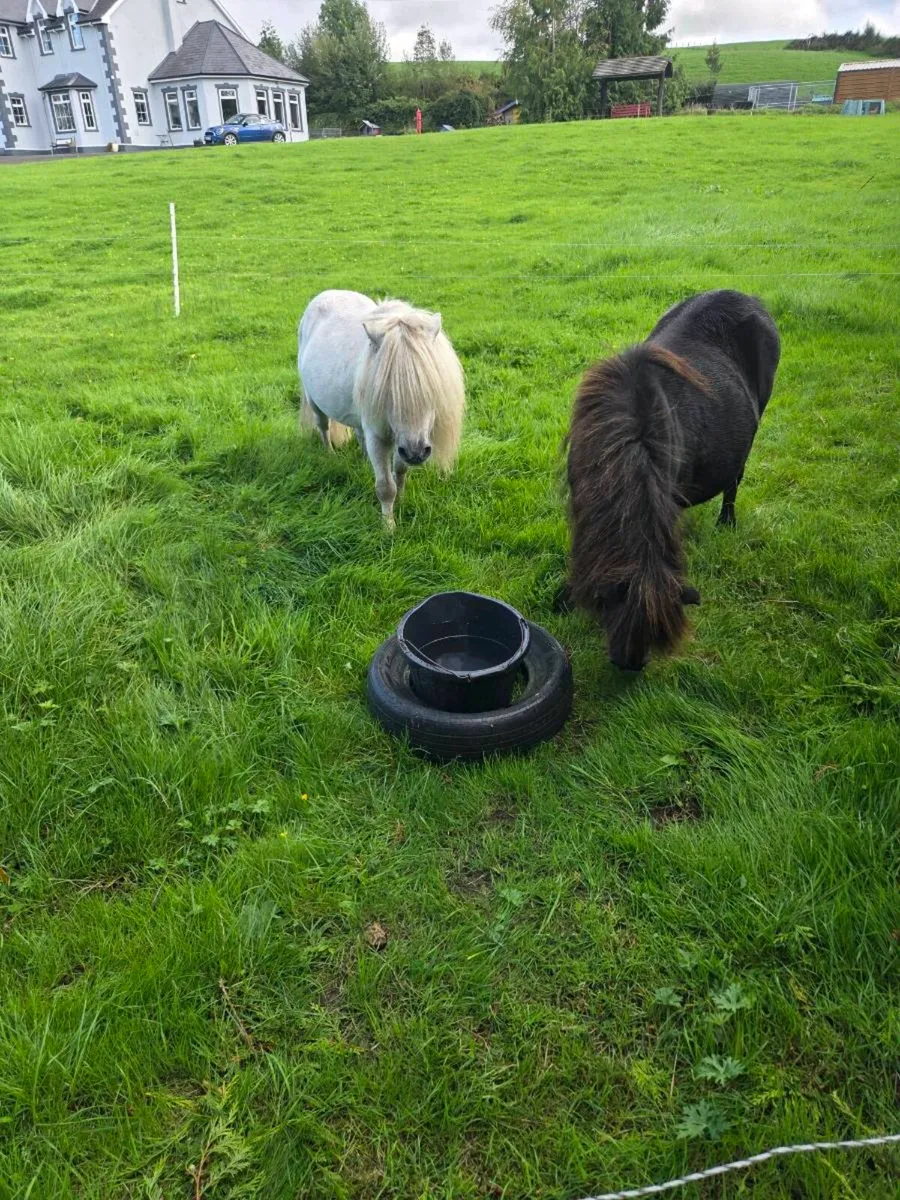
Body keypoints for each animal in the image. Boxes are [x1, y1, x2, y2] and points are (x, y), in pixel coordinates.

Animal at [297, 290, 465, 529]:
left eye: (431, 390)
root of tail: (324, 294)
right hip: (314, 402)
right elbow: (385, 486)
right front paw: (388, 527)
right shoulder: (379, 436)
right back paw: (330, 453)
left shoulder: (402, 441)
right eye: (388, 391)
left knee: (358, 434)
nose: (416, 453)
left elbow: (400, 472)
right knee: (323, 426)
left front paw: (401, 500)